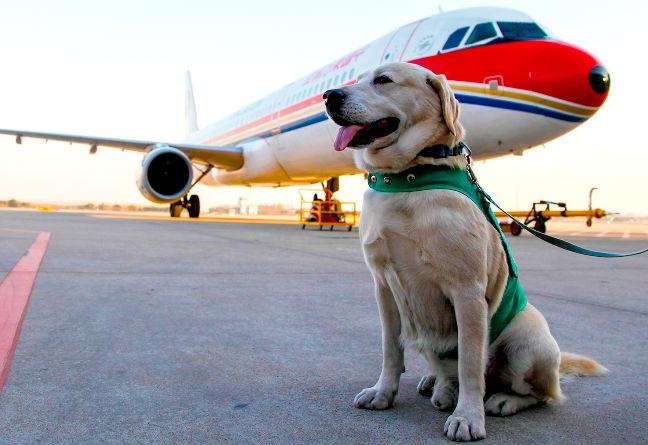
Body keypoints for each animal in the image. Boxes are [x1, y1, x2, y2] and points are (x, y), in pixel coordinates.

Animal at [324, 62, 608, 440]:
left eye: (383, 80)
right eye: (355, 79)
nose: (329, 96)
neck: (408, 178)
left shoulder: (467, 291)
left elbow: (471, 364)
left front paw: (468, 417)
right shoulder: (383, 287)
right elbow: (390, 349)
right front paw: (383, 392)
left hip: (528, 334)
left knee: (540, 393)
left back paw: (501, 399)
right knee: (446, 369)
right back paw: (438, 384)